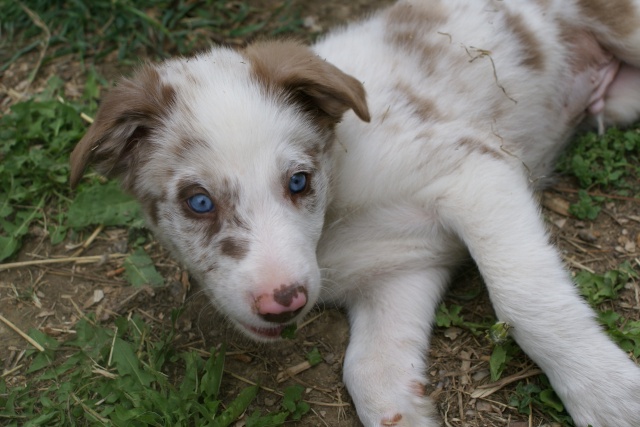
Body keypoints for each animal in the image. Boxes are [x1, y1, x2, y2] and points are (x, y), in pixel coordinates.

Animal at [70, 1, 640, 426]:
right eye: (199, 202)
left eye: (299, 181)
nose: (283, 301)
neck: (337, 212)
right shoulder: (404, 269)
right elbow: (370, 372)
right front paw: (406, 410)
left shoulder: (476, 168)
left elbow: (526, 301)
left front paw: (606, 394)